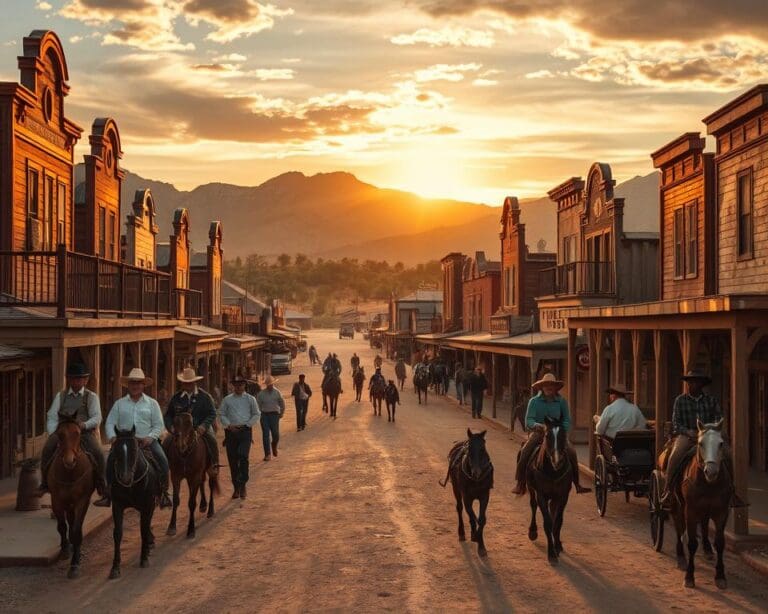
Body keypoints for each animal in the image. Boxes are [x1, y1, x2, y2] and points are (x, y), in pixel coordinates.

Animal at [47, 416, 95, 580]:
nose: (69, 461)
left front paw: (74, 565)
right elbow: (62, 526)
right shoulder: (56, 500)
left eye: (77, 433)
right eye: (60, 434)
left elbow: (76, 531)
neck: (70, 474)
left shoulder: (83, 501)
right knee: (68, 521)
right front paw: (65, 550)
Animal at [109, 428, 159, 584]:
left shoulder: (147, 504)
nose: (125, 477)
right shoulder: (117, 506)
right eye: (116, 450)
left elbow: (143, 529)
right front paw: (115, 568)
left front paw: (144, 559)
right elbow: (118, 534)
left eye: (134, 449)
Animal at [520, 418, 568, 568]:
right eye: (548, 436)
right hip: (531, 488)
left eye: (564, 435)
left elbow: (557, 521)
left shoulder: (563, 496)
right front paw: (551, 553)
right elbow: (547, 522)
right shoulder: (541, 495)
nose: (557, 461)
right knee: (533, 505)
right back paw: (532, 531)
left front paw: (557, 545)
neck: (553, 472)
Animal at [672, 422, 732, 588]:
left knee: (704, 524)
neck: (708, 484)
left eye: (721, 443)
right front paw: (689, 577)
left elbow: (720, 543)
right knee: (679, 528)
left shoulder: (722, 512)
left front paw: (720, 576)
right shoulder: (691, 511)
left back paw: (707, 549)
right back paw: (681, 557)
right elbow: (692, 543)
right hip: (677, 505)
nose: (710, 471)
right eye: (701, 443)